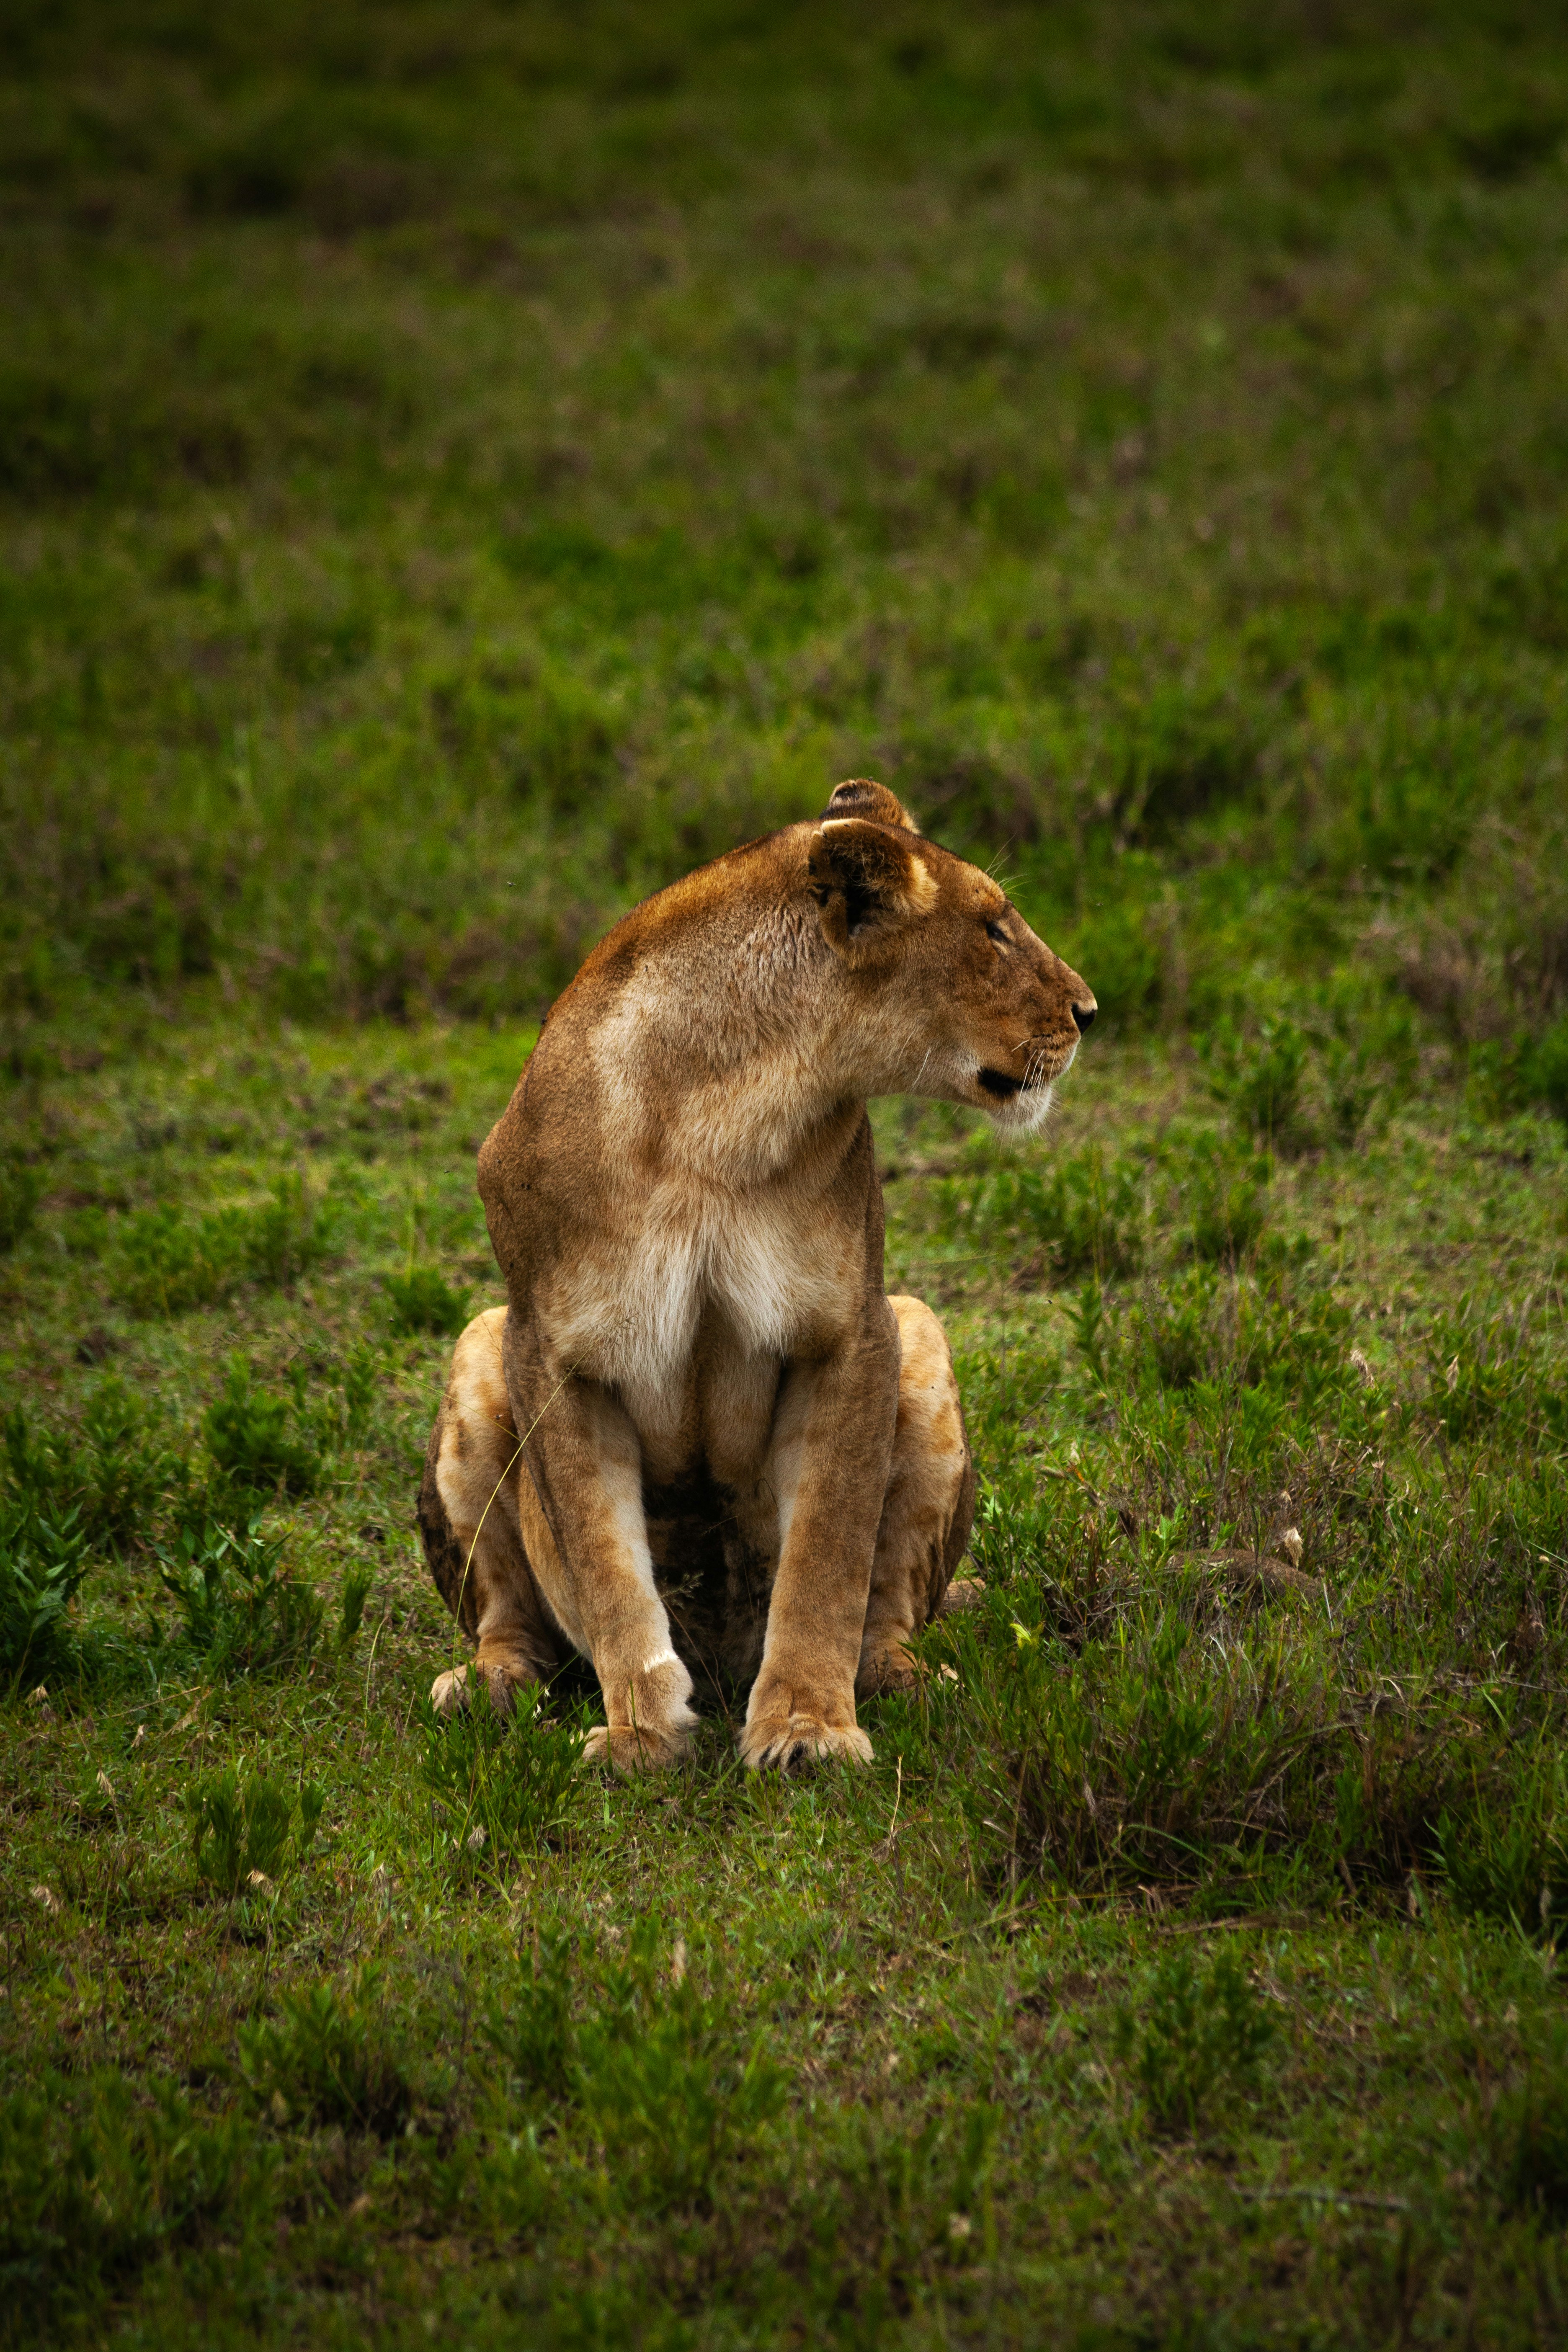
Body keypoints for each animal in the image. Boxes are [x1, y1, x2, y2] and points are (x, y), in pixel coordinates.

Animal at [417, 778, 1095, 1770]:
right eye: (992, 928)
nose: (1089, 1010)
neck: (723, 1107)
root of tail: (720, 1657)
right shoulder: (554, 1354)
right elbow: (604, 1563)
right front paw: (641, 1733)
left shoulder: (852, 1333)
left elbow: (827, 1556)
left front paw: (809, 1726)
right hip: (477, 1347)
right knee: (509, 1614)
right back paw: (488, 1686)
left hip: (921, 1328)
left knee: (888, 1609)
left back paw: (901, 1680)